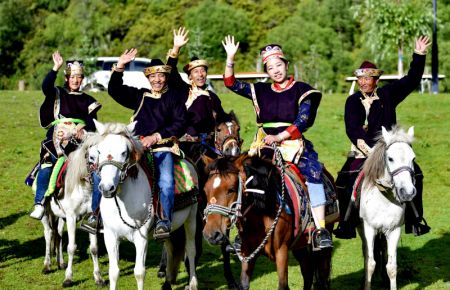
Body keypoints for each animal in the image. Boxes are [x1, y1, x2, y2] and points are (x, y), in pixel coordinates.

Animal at [39, 133, 104, 286]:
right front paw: (68, 278)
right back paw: (47, 265)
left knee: (58, 234)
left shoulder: (89, 217)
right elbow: (71, 247)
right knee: (48, 234)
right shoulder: (72, 217)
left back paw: (60, 263)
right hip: (46, 214)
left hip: (61, 217)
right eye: (91, 157)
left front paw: (98, 278)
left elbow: (94, 248)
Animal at [95, 120, 199, 290]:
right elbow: (113, 272)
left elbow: (139, 273)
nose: (106, 188)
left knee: (190, 250)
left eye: (124, 152)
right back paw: (168, 282)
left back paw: (193, 283)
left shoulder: (141, 238)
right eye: (99, 151)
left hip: (191, 218)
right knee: (171, 250)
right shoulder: (110, 236)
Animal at [202, 151, 332, 288]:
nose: (211, 234)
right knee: (307, 271)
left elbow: (283, 285)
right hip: (300, 243)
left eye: (231, 189)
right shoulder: (247, 252)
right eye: (205, 190)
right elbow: (244, 284)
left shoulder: (281, 251)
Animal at [358, 127, 418, 290]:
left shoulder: (394, 230)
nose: (408, 192)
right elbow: (370, 263)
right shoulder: (369, 228)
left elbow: (391, 266)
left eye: (413, 159)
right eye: (390, 158)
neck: (384, 198)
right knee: (366, 252)